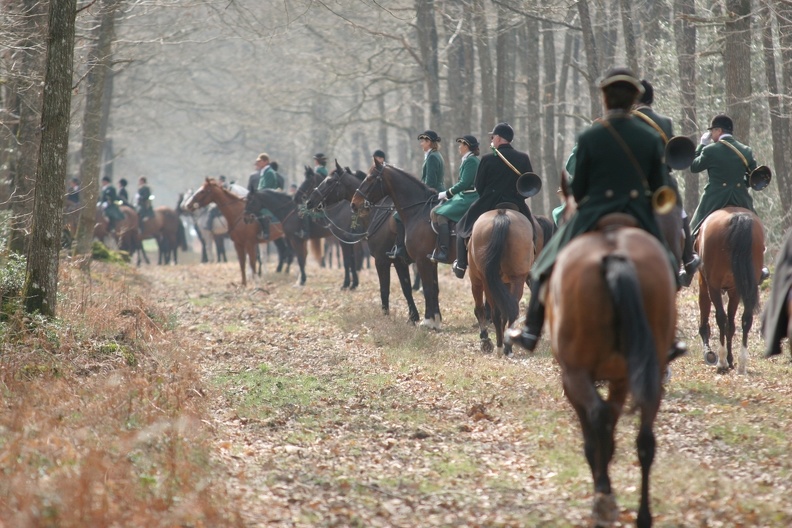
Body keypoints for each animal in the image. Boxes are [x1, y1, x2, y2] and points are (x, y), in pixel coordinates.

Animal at [304, 162, 420, 322]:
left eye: (329, 181)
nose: (309, 201)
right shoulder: (398, 261)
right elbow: (405, 288)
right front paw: (413, 316)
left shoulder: (380, 260)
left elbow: (384, 288)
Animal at [352, 161, 446, 328]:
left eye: (369, 178)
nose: (354, 203)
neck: (417, 211)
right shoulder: (424, 261)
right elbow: (430, 288)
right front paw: (431, 318)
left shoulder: (386, 261)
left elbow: (392, 289)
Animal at [468, 207, 536, 354]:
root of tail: (502, 214)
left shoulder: (476, 280)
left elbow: (479, 309)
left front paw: (485, 340)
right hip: (517, 278)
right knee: (511, 309)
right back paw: (507, 347)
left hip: (486, 280)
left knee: (496, 312)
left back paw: (500, 346)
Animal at [544, 211, 676, 528]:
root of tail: (615, 256)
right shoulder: (621, 380)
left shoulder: (572, 381)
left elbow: (593, 439)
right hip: (649, 375)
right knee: (645, 441)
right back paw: (642, 515)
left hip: (577, 373)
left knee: (599, 417)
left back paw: (603, 497)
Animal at [696, 204, 764, 374]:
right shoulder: (735, 290)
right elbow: (732, 326)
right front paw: (731, 359)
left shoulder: (705, 283)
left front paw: (714, 355)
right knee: (746, 319)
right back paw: (741, 363)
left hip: (713, 286)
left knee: (721, 317)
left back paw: (721, 362)